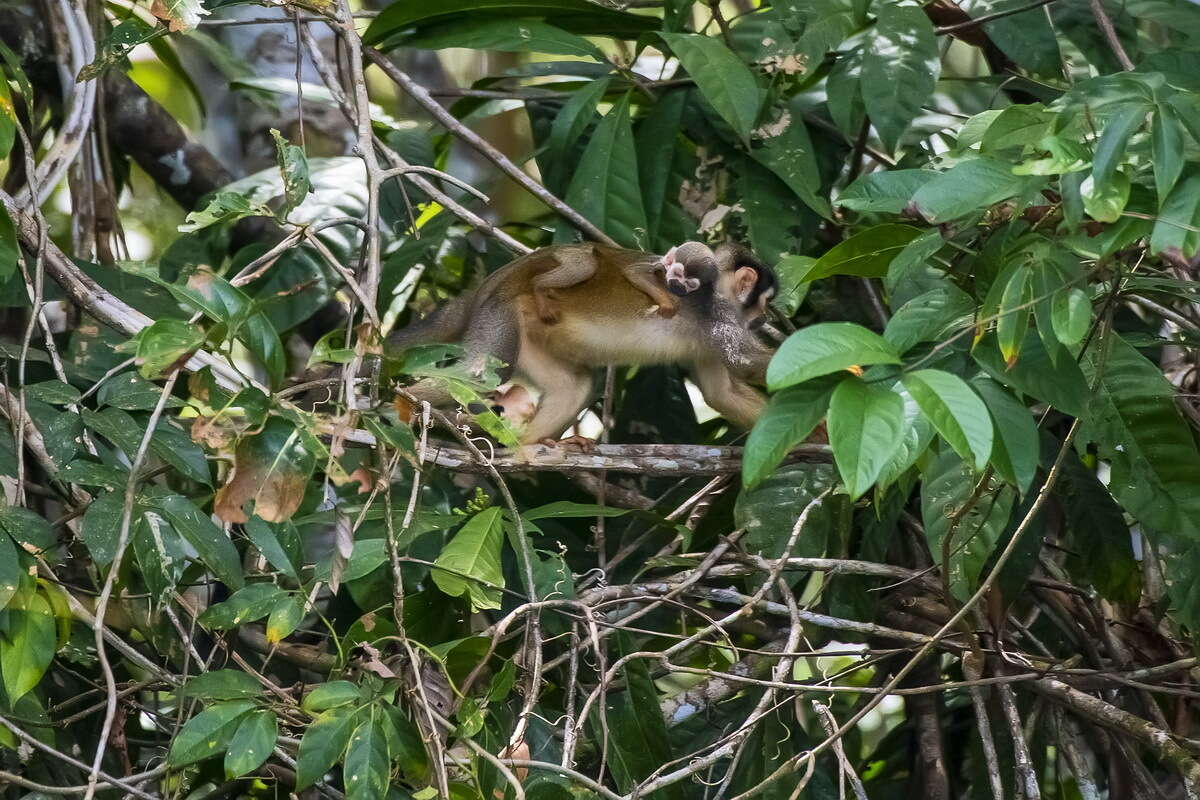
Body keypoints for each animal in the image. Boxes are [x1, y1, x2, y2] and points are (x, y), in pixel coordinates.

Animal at [386, 241, 777, 448]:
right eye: (762, 302)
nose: (763, 318)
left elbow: (722, 393)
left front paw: (794, 447)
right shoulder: (717, 312)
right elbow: (744, 361)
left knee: (575, 386)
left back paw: (527, 444)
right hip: (501, 313)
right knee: (481, 375)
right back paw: (402, 404)